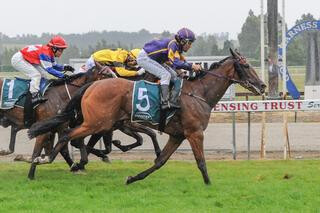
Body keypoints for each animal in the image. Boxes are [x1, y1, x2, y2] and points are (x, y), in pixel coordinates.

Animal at [29, 47, 264, 183]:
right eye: (245, 65)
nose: (262, 85)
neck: (199, 93)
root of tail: (91, 86)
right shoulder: (194, 133)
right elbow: (201, 162)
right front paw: (209, 185)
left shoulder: (177, 135)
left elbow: (160, 161)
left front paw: (133, 178)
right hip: (98, 122)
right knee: (68, 135)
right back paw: (46, 159)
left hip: (101, 123)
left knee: (69, 136)